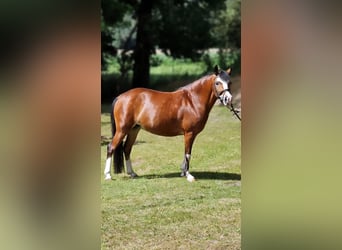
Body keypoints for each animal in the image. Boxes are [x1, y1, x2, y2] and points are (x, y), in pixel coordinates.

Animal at [103, 65, 232, 182]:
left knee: (127, 149)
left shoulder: (190, 134)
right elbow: (188, 153)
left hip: (134, 130)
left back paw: (132, 173)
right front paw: (188, 175)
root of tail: (120, 97)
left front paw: (183, 172)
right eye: (217, 83)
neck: (192, 100)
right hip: (122, 130)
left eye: (229, 82)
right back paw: (108, 175)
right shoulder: (189, 133)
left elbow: (186, 152)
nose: (228, 99)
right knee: (111, 147)